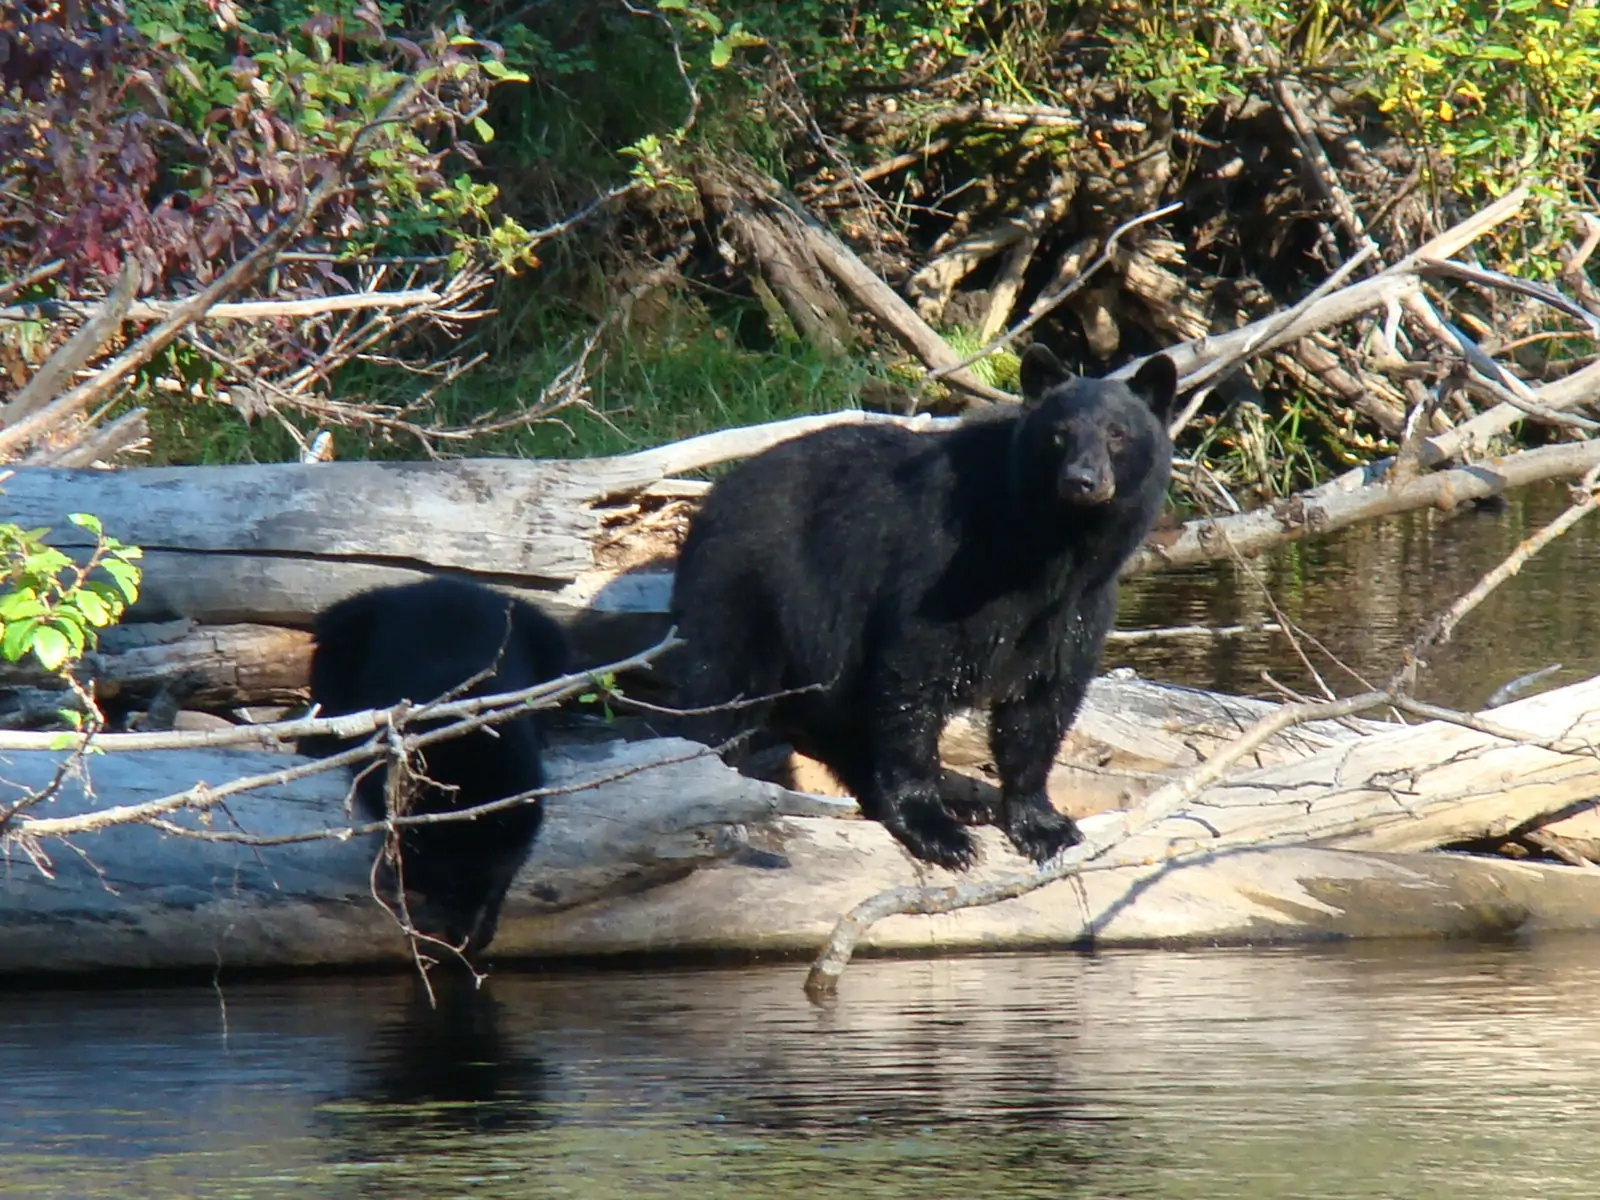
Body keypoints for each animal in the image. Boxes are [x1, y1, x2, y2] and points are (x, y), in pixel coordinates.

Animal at [669, 343, 1177, 870]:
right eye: (1058, 435)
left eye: (1118, 433)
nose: (1081, 480)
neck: (1052, 547)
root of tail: (710, 500)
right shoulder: (946, 574)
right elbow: (912, 680)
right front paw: (937, 830)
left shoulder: (1077, 608)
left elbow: (1043, 702)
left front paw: (1042, 823)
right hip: (748, 588)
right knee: (722, 692)